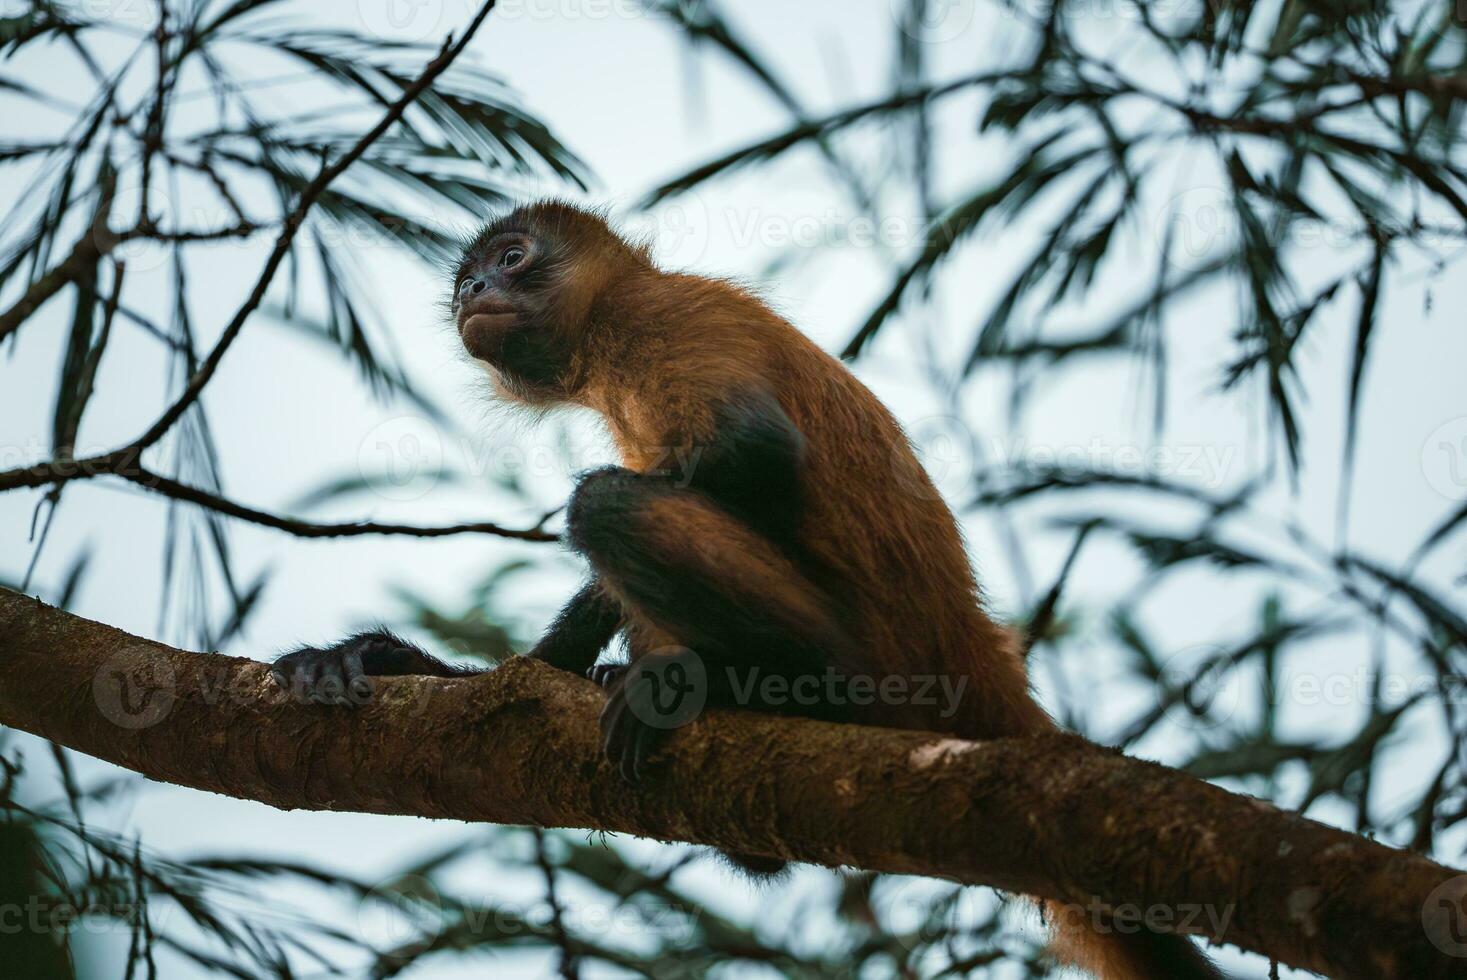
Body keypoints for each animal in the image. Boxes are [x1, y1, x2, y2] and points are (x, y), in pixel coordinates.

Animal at [272, 200, 1226, 979]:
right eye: (467, 278)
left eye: (510, 258)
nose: (473, 287)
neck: (607, 334)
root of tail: (967, 639)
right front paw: (410, 666)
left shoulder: (662, 319)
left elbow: (753, 452)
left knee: (606, 500)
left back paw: (788, 686)